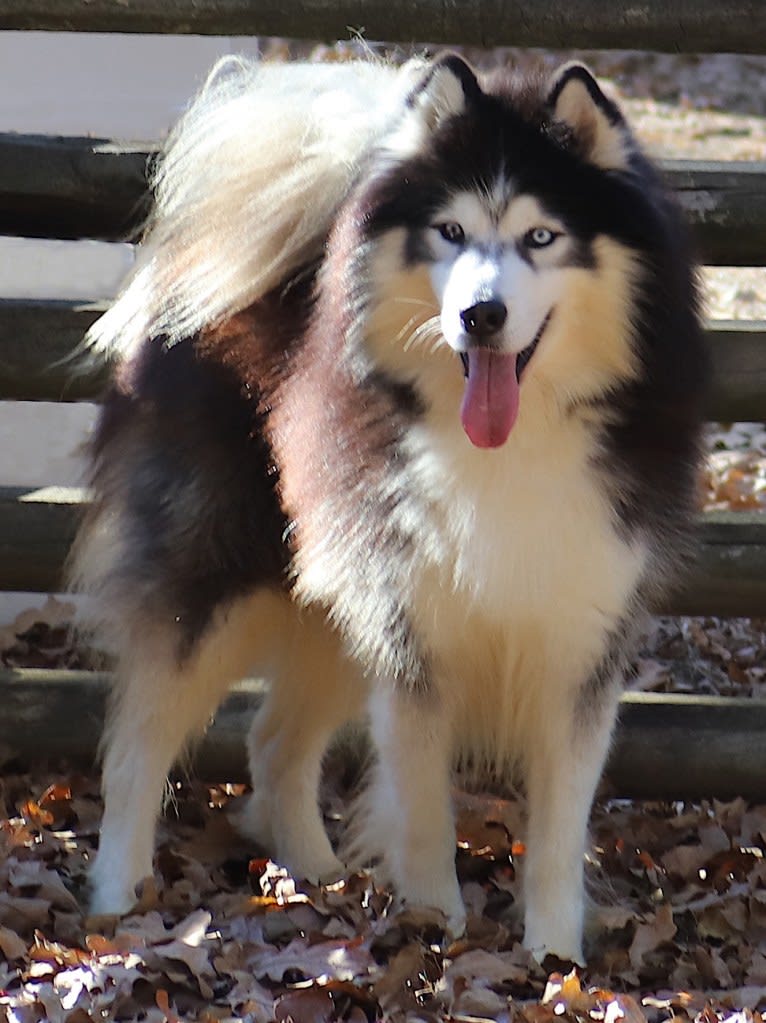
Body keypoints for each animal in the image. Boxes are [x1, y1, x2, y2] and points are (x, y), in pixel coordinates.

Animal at [71, 53, 703, 965]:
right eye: (450, 232)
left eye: (541, 237)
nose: (481, 315)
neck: (507, 451)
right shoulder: (413, 642)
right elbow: (425, 811)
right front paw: (437, 930)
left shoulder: (580, 638)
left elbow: (556, 832)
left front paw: (554, 958)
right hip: (221, 580)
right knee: (138, 747)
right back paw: (119, 900)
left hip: (337, 599)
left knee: (272, 743)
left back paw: (317, 874)